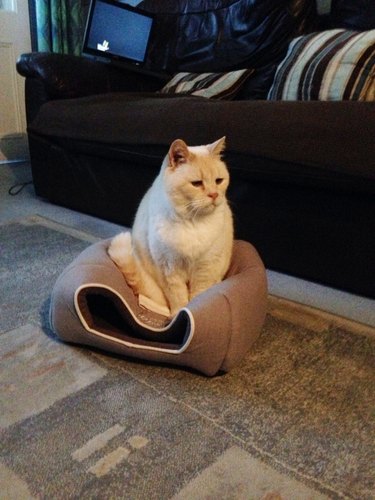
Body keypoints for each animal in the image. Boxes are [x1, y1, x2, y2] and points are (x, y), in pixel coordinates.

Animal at [107, 137, 234, 316]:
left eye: (219, 181)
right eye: (196, 183)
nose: (214, 195)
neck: (193, 223)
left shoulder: (205, 270)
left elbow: (198, 298)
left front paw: (192, 312)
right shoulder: (169, 270)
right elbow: (178, 298)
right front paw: (177, 315)